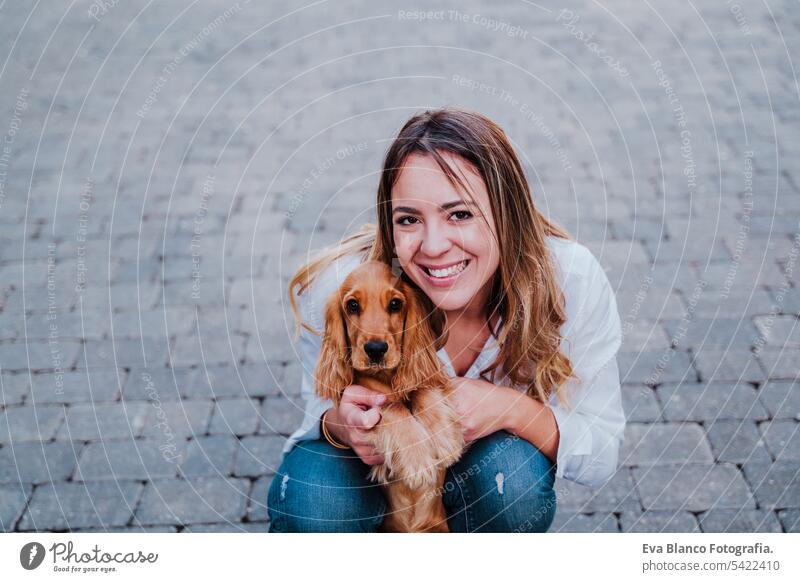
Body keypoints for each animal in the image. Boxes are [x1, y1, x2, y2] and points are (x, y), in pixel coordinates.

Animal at [314, 262, 462, 536]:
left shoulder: (429, 377)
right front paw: (418, 461)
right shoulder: (364, 399)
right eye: (352, 305)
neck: (384, 377)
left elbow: (422, 389)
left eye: (395, 304)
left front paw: (446, 441)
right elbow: (393, 408)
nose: (375, 349)